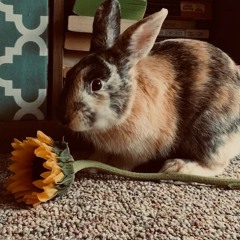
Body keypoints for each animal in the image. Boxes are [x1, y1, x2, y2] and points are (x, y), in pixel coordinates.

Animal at [57, 0, 240, 176]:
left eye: (97, 84)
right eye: (70, 73)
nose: (63, 118)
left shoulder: (141, 148)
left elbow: (125, 162)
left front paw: (110, 166)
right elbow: (99, 155)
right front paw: (90, 164)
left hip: (209, 131)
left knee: (215, 165)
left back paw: (176, 167)